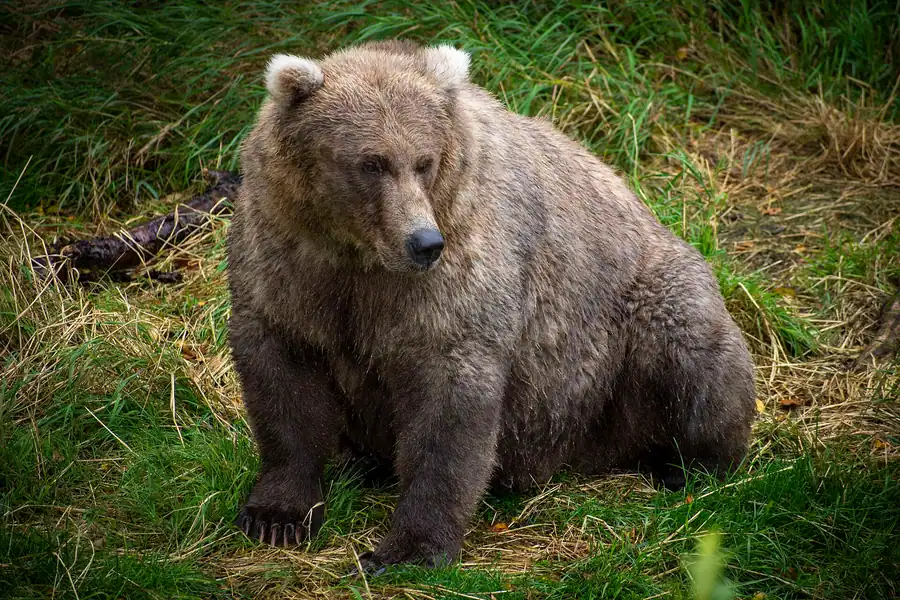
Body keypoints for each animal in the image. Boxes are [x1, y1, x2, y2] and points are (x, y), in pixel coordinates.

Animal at [225, 39, 756, 571]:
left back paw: (688, 466)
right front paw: (276, 516)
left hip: (639, 314)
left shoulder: (455, 273)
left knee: (692, 359)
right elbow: (285, 385)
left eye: (424, 161)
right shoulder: (290, 265)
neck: (358, 255)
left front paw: (408, 548)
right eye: (370, 162)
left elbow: (449, 407)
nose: (423, 242)